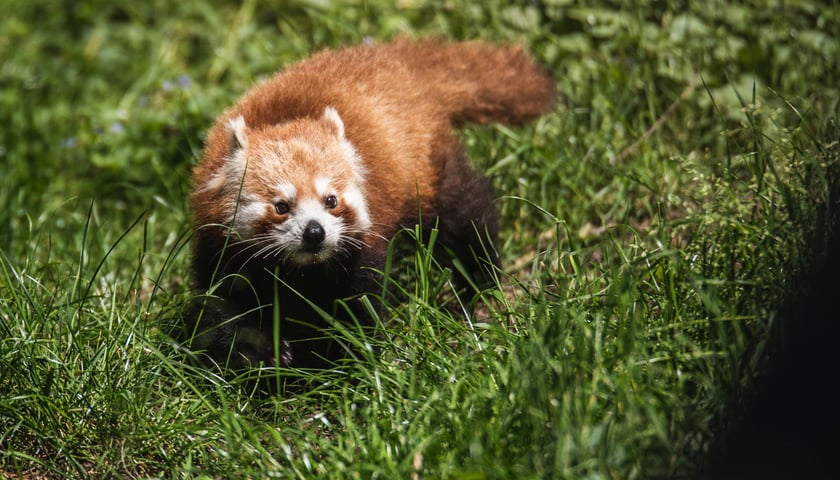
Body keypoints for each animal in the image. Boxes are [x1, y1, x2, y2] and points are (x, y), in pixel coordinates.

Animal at [187, 37, 556, 372]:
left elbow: (360, 305)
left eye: (331, 200)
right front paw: (264, 352)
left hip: (427, 174)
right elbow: (225, 309)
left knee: (467, 215)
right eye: (281, 206)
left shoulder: (363, 247)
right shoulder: (218, 248)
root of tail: (394, 61)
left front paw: (347, 358)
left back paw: (477, 279)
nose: (315, 232)